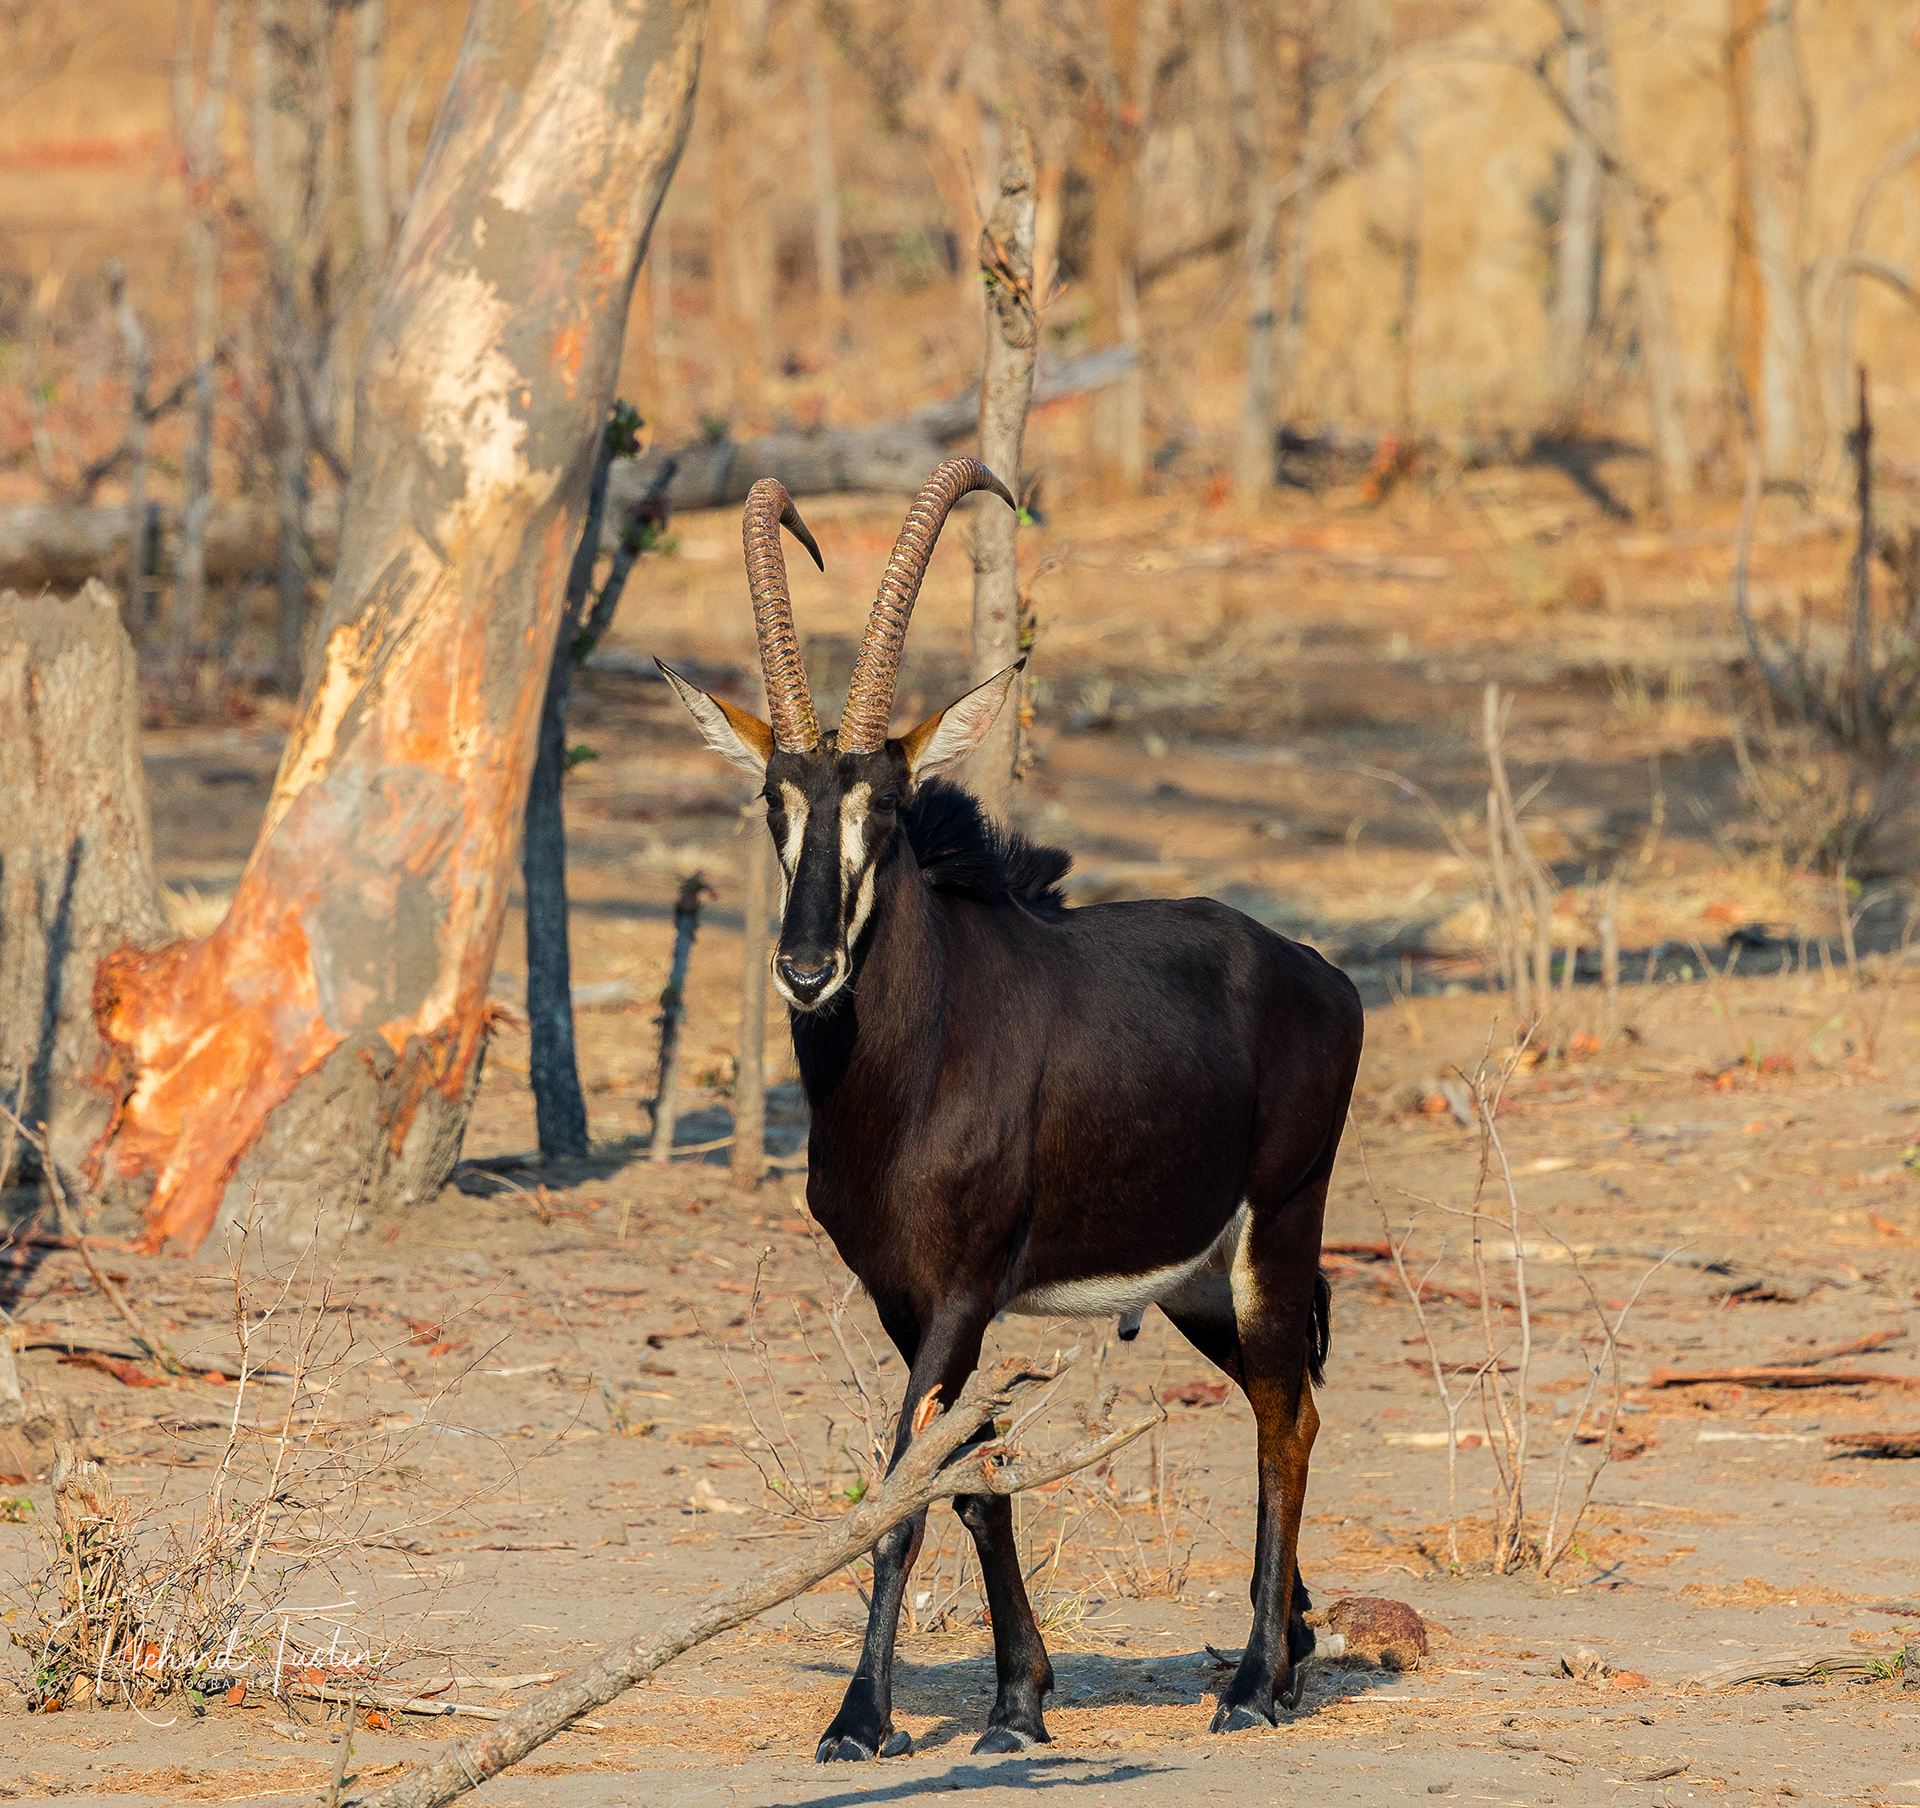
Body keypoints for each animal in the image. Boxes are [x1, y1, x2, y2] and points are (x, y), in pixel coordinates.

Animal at [658, 458, 1363, 1759]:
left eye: (885, 808)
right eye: (776, 807)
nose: (807, 969)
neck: (910, 1069)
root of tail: (1314, 972)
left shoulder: (962, 1294)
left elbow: (902, 1491)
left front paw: (861, 1717)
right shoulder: (910, 1302)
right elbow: (972, 1479)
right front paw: (1016, 1700)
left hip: (1280, 1229)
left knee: (1285, 1420)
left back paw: (1251, 1683)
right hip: (1194, 1280)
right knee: (1278, 1401)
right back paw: (1286, 1649)